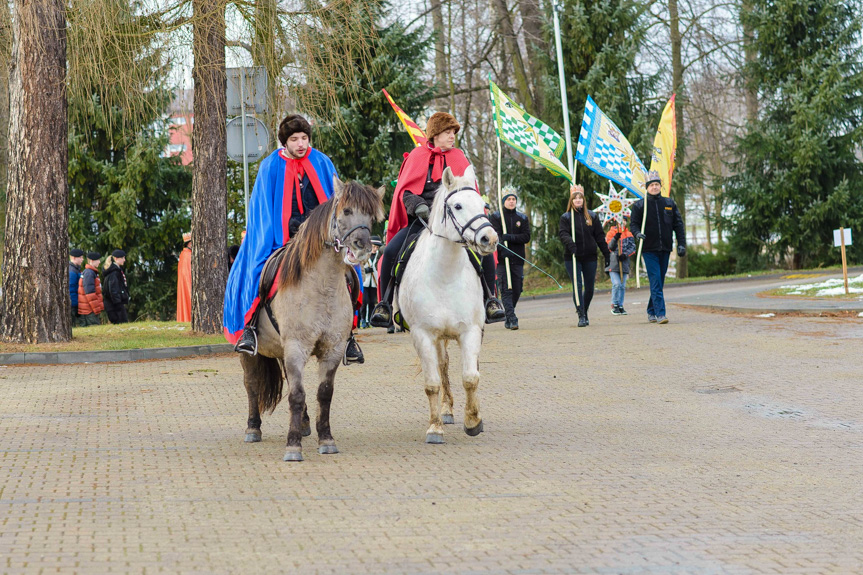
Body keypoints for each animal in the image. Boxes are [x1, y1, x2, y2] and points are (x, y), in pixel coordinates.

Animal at [240, 180, 382, 464]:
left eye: (371, 217)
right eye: (346, 210)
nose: (362, 246)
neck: (321, 287)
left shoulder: (332, 349)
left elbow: (323, 393)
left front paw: (326, 439)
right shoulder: (296, 347)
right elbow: (296, 394)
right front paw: (293, 446)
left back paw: (304, 425)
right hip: (248, 349)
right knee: (252, 384)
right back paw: (253, 428)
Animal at [394, 166, 496, 446]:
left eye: (483, 205)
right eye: (457, 205)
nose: (490, 238)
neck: (445, 275)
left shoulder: (470, 331)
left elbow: (471, 377)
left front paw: (473, 421)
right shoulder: (423, 335)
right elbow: (432, 382)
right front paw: (435, 428)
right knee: (442, 366)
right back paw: (446, 411)